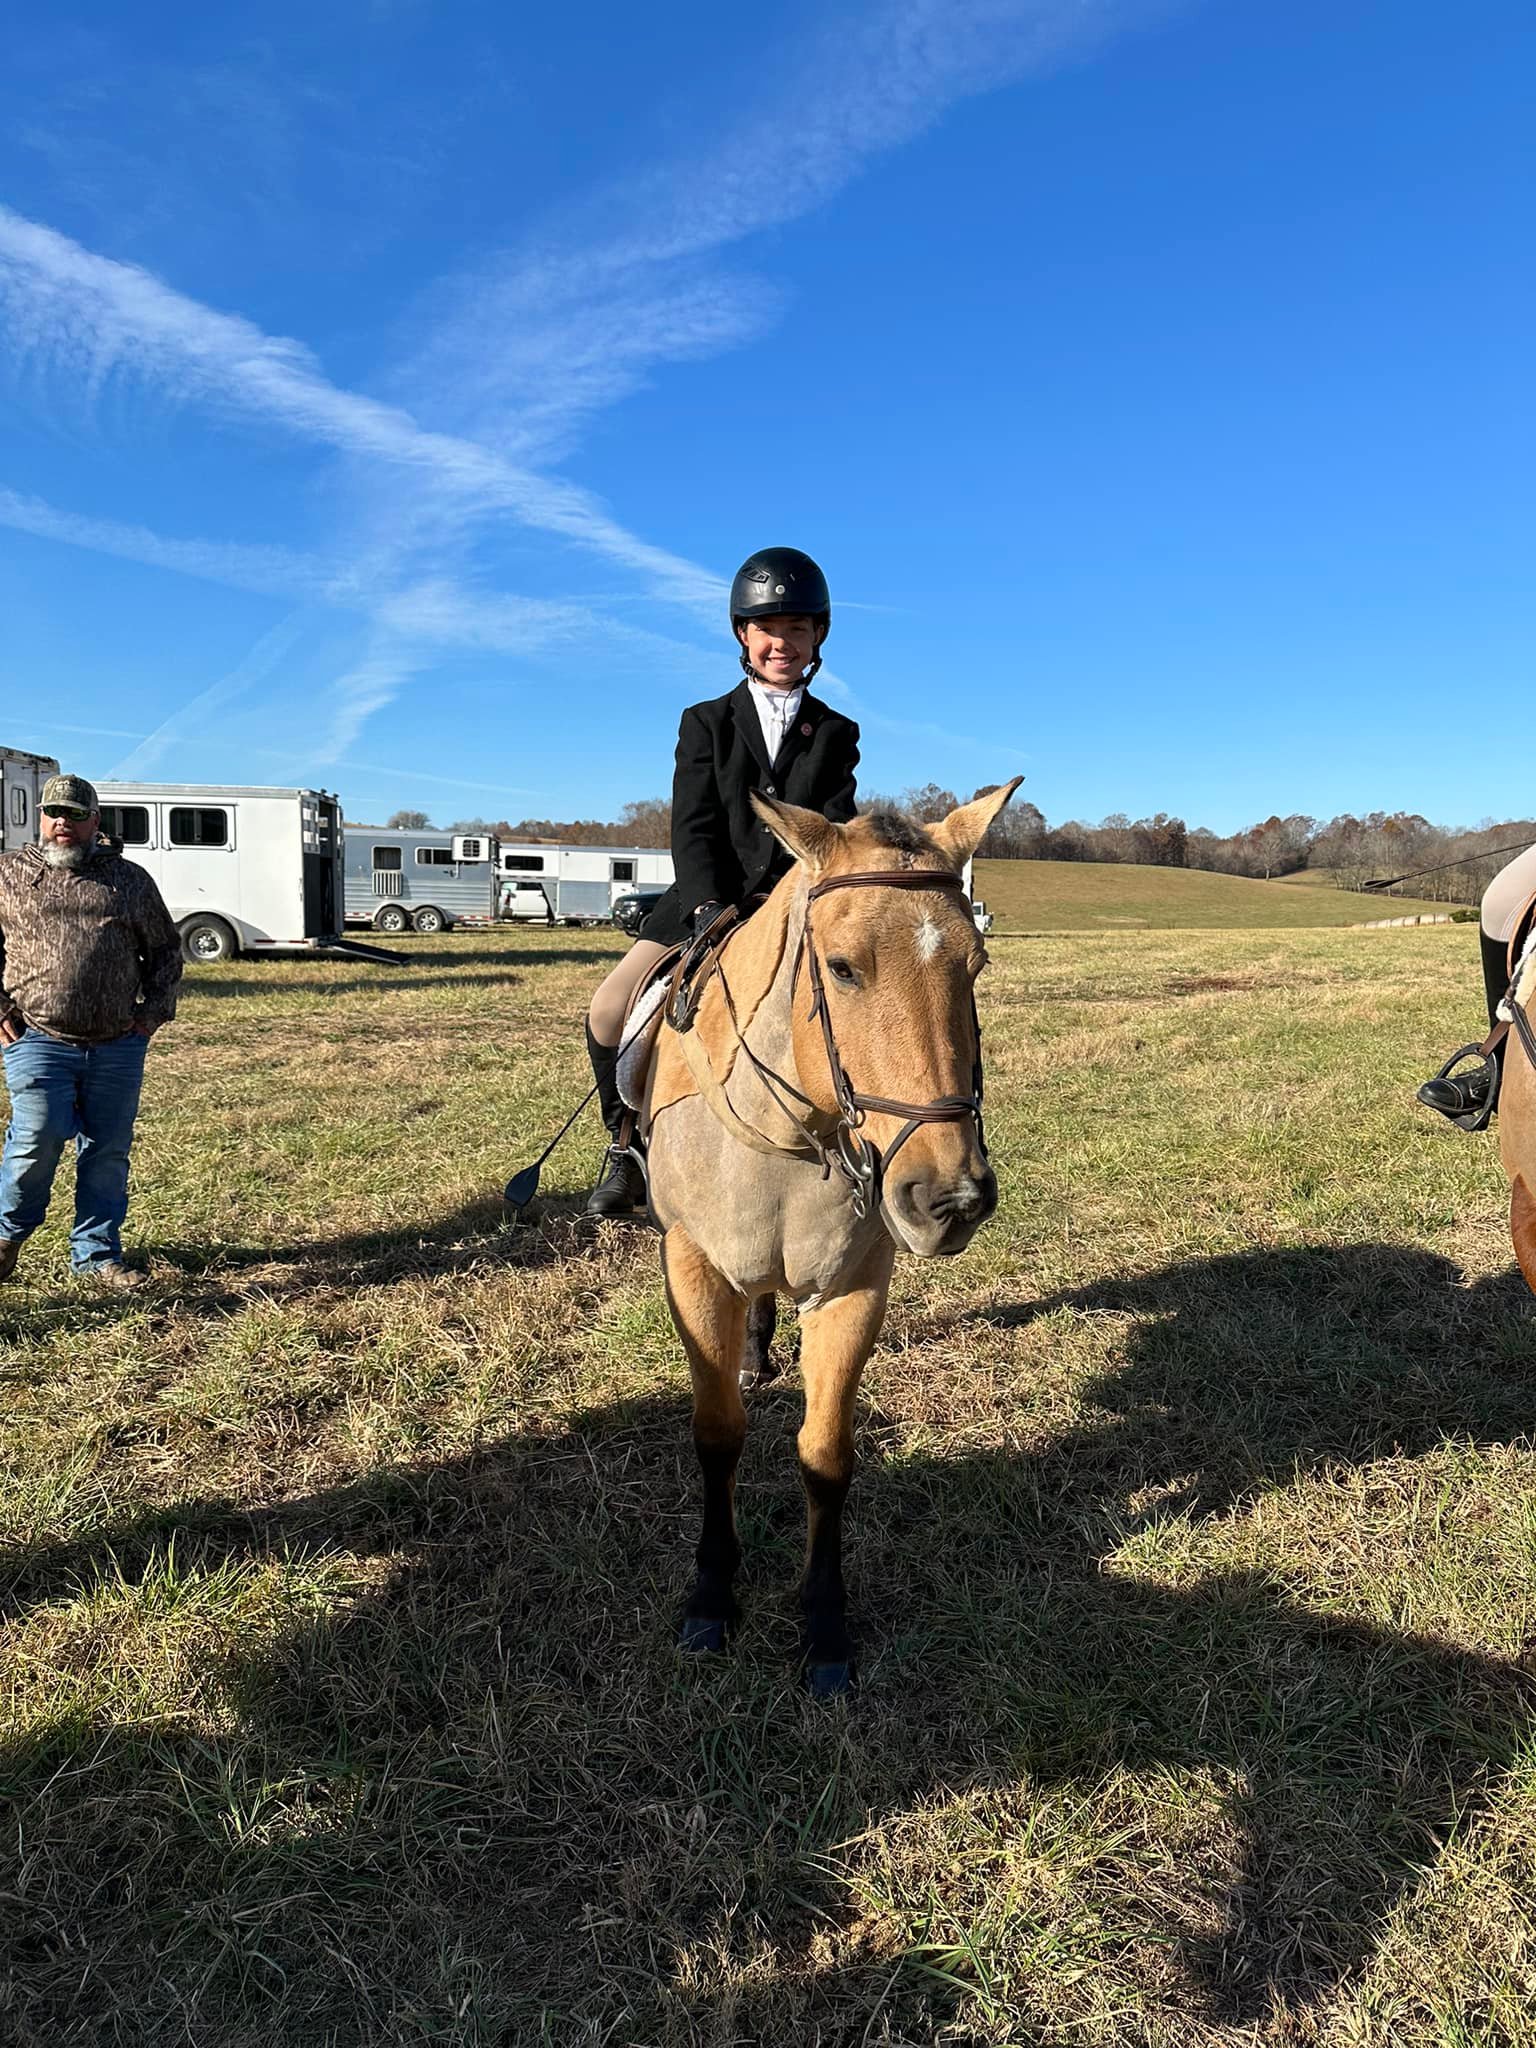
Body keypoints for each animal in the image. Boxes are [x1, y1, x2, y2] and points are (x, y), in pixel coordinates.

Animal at [642, 777, 1021, 1694]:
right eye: (843, 968)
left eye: (976, 965)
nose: (951, 1198)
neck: (791, 1137)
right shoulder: (693, 1269)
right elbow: (718, 1434)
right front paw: (712, 1597)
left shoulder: (853, 1289)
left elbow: (826, 1454)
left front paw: (823, 1626)